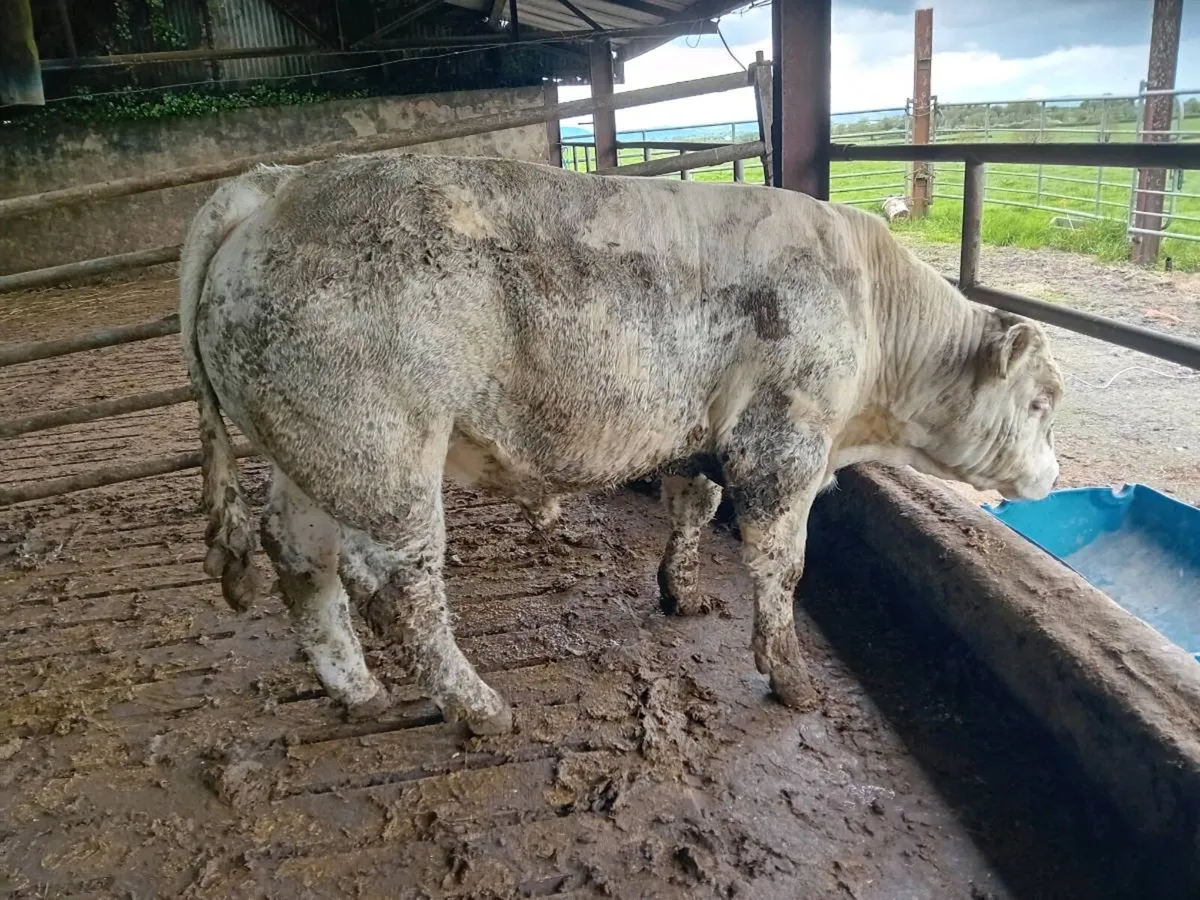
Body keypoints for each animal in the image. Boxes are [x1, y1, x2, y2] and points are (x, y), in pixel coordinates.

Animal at [179, 152, 1063, 737]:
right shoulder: (781, 444)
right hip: (383, 454)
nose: (1055, 476)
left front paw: (682, 594)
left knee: (300, 553)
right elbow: (781, 567)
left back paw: (356, 689)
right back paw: (481, 707)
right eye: (1042, 402)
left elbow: (692, 510)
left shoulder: (698, 439)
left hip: (312, 454)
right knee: (401, 586)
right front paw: (792, 681)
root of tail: (274, 186)